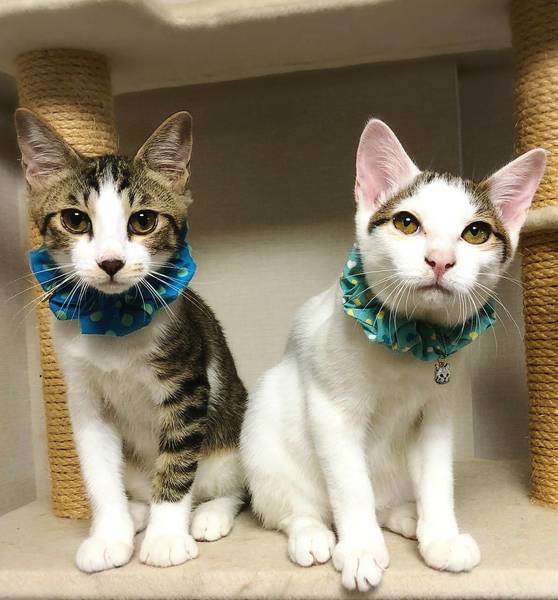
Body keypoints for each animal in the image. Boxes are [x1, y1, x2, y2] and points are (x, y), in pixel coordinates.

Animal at [15, 109, 247, 573]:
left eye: (142, 221)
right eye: (74, 219)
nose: (110, 262)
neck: (111, 320)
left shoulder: (186, 384)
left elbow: (177, 461)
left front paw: (166, 538)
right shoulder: (83, 395)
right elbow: (98, 470)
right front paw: (109, 536)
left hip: (231, 435)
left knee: (227, 484)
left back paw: (208, 514)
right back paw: (137, 512)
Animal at [240, 118, 546, 592]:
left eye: (475, 233)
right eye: (406, 223)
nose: (440, 260)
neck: (410, 344)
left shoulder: (438, 413)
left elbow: (437, 478)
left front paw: (441, 537)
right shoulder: (332, 412)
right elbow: (351, 486)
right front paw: (361, 549)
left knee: (387, 497)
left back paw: (408, 518)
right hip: (263, 434)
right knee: (291, 507)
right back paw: (312, 534)